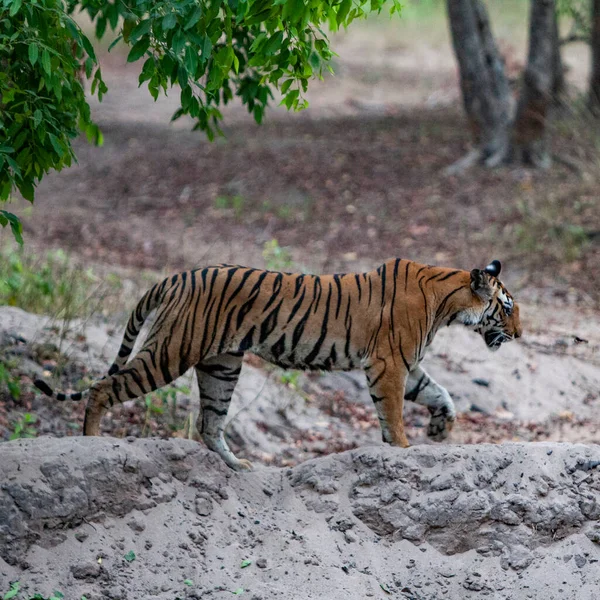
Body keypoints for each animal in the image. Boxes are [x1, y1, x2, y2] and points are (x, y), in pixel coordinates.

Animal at [35, 255, 520, 472]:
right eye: (507, 307)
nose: (519, 334)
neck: (448, 302)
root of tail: (175, 277)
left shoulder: (407, 365)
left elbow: (441, 392)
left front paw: (440, 428)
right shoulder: (388, 363)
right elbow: (396, 414)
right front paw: (403, 449)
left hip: (221, 365)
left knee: (210, 421)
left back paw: (238, 467)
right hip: (170, 351)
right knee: (104, 388)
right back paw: (91, 442)